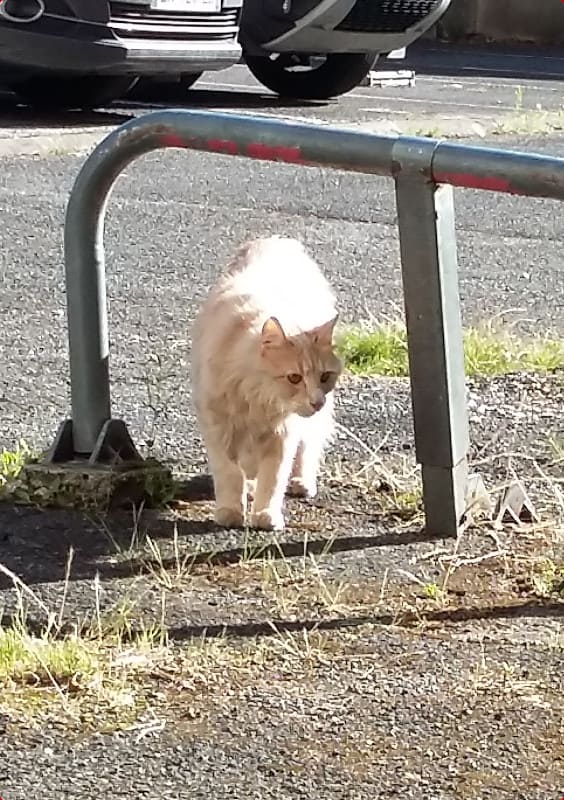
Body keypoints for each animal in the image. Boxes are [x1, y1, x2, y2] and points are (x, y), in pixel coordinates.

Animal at [192, 238, 342, 532]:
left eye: (324, 377)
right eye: (294, 378)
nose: (316, 401)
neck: (257, 398)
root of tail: (278, 239)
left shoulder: (283, 435)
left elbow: (273, 479)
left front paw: (265, 515)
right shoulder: (218, 428)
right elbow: (229, 473)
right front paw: (230, 510)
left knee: (308, 449)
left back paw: (300, 482)